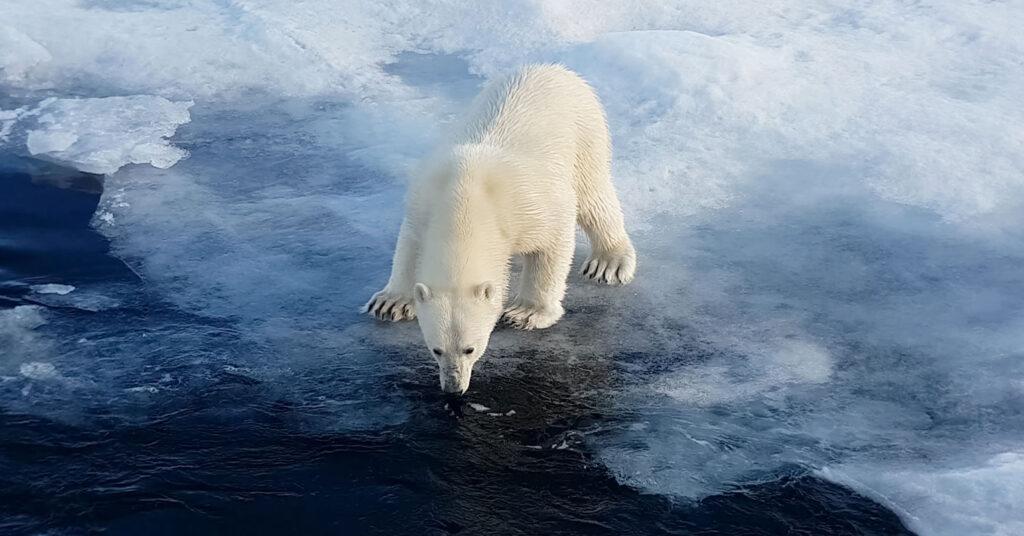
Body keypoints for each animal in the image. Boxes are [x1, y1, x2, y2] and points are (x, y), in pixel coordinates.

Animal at [364, 65, 634, 395]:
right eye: (435, 349)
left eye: (471, 348)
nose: (453, 387)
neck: (466, 198)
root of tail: (553, 69)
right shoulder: (424, 201)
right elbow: (408, 246)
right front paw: (391, 302)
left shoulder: (529, 207)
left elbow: (553, 242)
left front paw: (526, 313)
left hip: (585, 133)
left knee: (594, 196)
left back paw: (609, 261)